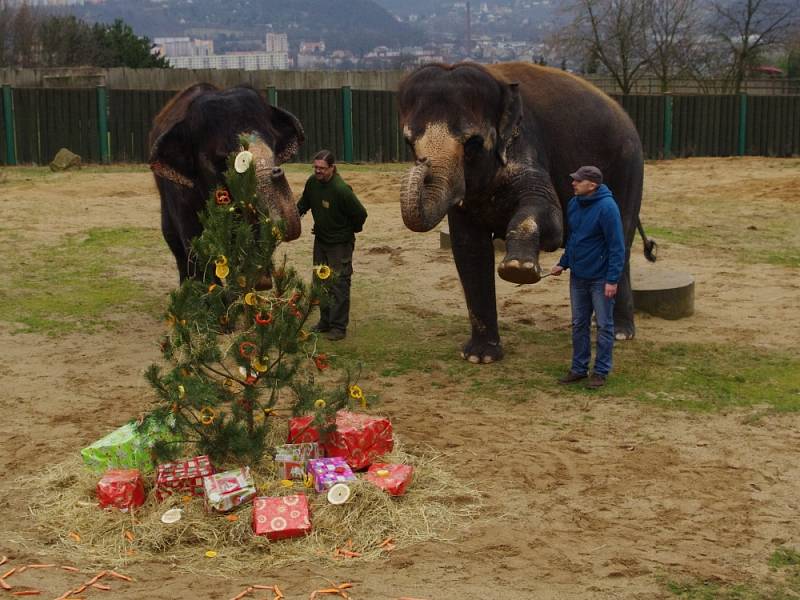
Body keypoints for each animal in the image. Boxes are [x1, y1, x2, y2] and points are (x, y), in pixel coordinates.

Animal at [148, 81, 304, 284]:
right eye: (221, 161)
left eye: (274, 146)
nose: (277, 171)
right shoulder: (179, 191)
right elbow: (192, 238)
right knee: (173, 238)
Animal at [396, 61, 648, 364]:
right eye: (409, 143)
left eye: (472, 143)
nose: (422, 164)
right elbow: (468, 247)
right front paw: (480, 357)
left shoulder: (527, 143)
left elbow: (552, 221)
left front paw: (519, 269)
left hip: (629, 168)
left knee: (620, 238)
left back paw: (620, 332)